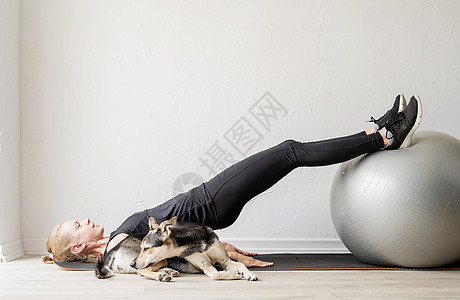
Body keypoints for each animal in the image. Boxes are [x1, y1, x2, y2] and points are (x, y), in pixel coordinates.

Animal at [96, 217, 258, 280]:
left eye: (147, 248)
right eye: (143, 248)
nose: (132, 264)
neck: (197, 243)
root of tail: (115, 247)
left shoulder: (224, 260)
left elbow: (240, 264)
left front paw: (249, 273)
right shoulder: (205, 265)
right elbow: (215, 274)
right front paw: (236, 275)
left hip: (159, 261)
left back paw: (168, 272)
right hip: (157, 260)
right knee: (141, 271)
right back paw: (161, 276)